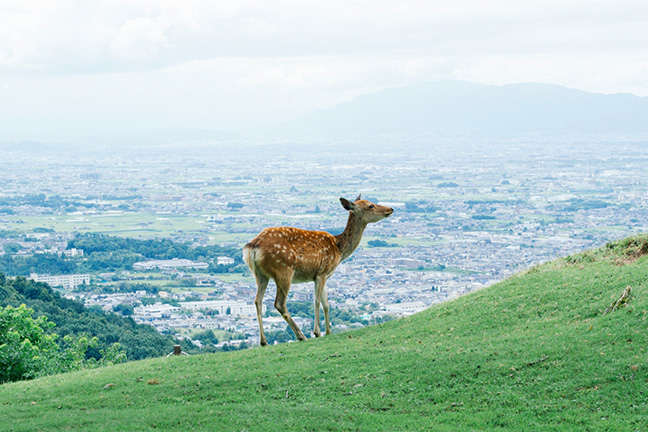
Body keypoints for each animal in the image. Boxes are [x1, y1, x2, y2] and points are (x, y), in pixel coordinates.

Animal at [243, 194, 394, 346]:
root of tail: (252, 247)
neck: (339, 250)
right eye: (371, 205)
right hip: (284, 270)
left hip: (260, 275)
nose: (390, 209)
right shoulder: (322, 271)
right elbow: (316, 301)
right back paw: (301, 336)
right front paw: (317, 332)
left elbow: (326, 304)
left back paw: (264, 341)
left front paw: (328, 332)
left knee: (258, 301)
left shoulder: (323, 275)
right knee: (279, 303)